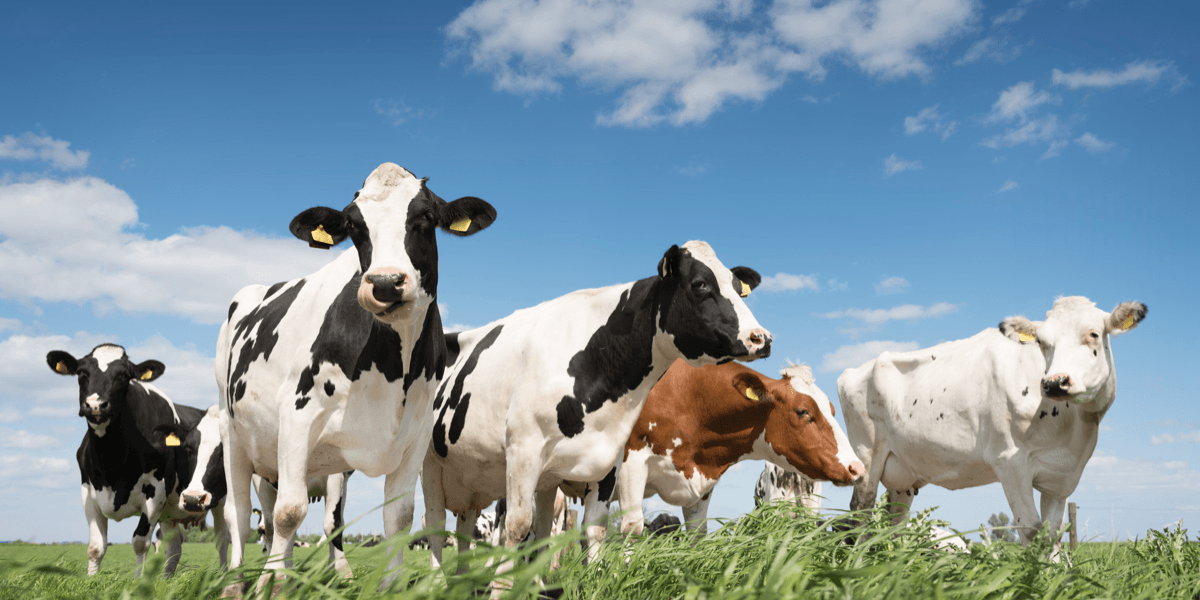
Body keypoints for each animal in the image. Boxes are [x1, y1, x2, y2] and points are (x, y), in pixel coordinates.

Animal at [45, 345, 228, 578]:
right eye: (81, 373)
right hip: (170, 512)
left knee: (222, 538)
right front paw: (91, 580)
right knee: (174, 545)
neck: (111, 463)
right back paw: (166, 579)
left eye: (124, 375)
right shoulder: (87, 491)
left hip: (220, 499)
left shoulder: (155, 493)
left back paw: (224, 576)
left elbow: (140, 542)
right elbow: (96, 547)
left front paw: (138, 581)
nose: (95, 405)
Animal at [216, 162, 496, 588]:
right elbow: (289, 513)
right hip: (233, 431)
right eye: (353, 226)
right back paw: (239, 581)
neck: (392, 367)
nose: (385, 282)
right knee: (242, 515)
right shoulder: (297, 416)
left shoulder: (414, 436)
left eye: (426, 218)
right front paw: (272, 585)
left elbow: (398, 517)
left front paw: (392, 586)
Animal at [422, 237, 772, 571]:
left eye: (736, 286)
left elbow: (594, 530)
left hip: (482, 482)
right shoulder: (523, 450)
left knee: (476, 530)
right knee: (437, 526)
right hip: (430, 465)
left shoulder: (608, 459)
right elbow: (518, 527)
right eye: (700, 284)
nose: (762, 337)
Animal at [840, 297, 1147, 554]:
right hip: (867, 457)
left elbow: (1052, 536)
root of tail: (854, 370)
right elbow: (1031, 530)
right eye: (1041, 342)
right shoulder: (1010, 462)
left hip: (903, 474)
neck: (1074, 428)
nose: (1055, 382)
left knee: (895, 523)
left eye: (1093, 333)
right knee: (861, 511)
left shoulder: (1061, 477)